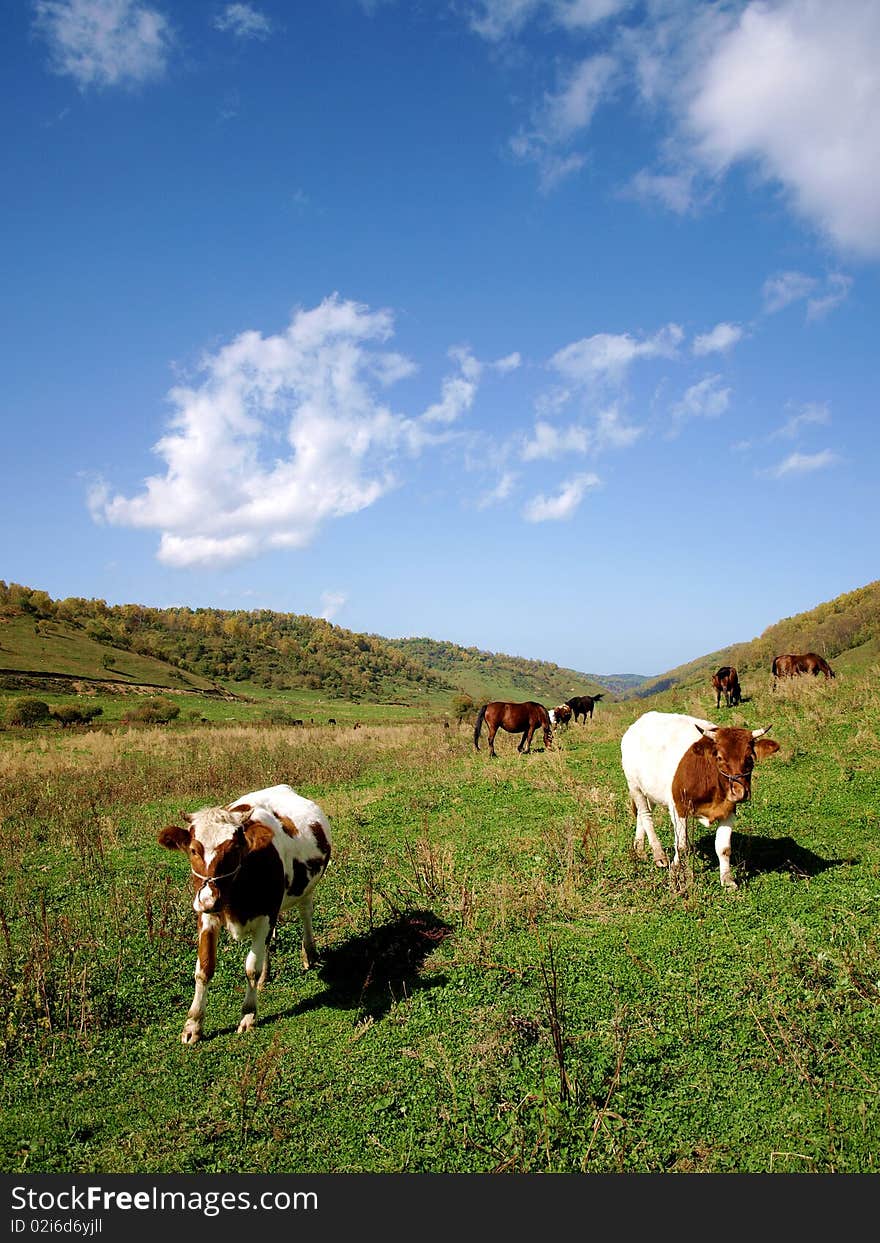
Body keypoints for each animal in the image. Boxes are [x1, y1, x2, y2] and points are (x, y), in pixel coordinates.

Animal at [156, 785, 330, 1039]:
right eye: (193, 850)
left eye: (234, 849)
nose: (209, 899)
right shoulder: (207, 916)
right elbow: (204, 968)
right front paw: (193, 1024)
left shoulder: (266, 914)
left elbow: (251, 968)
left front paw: (248, 1014)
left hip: (307, 887)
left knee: (305, 912)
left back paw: (309, 953)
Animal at [621, 715, 780, 889]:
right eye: (719, 757)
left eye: (750, 757)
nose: (740, 793)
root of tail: (641, 720)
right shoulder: (678, 807)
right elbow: (681, 845)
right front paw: (675, 871)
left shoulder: (729, 811)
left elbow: (724, 848)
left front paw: (727, 880)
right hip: (634, 785)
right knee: (645, 815)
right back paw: (659, 855)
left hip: (650, 790)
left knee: (641, 815)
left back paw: (639, 849)